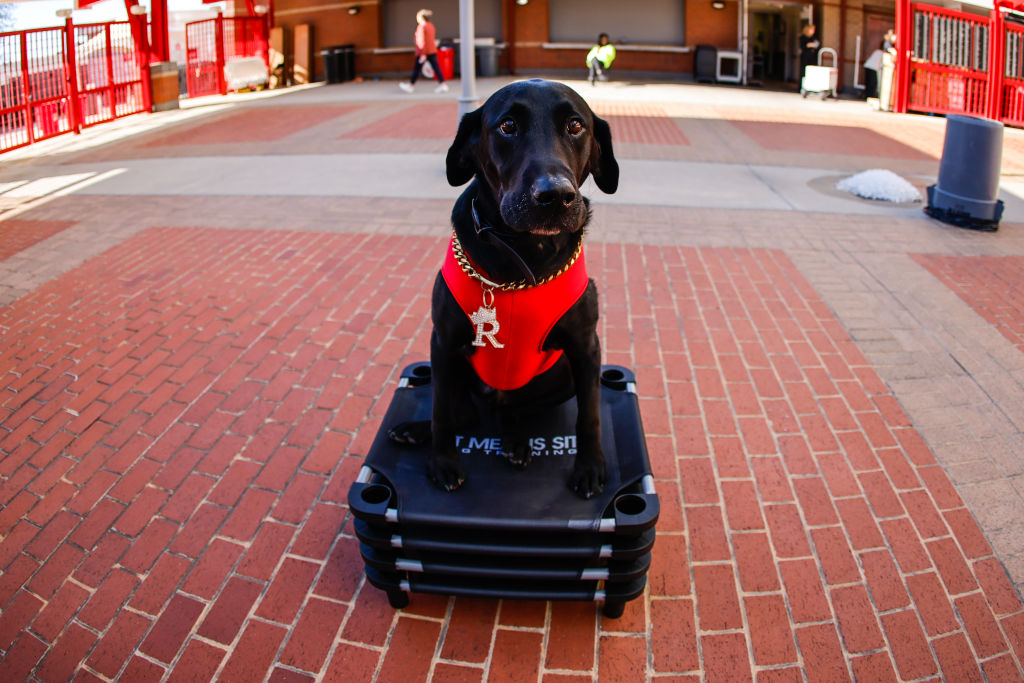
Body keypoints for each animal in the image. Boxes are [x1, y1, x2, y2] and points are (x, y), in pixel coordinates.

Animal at [389, 80, 614, 499]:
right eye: (508, 126)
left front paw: (591, 467)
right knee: (462, 413)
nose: (555, 196)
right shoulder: (443, 342)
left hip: (560, 376)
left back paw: (514, 439)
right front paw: (442, 463)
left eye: (576, 125)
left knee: (513, 409)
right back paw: (416, 431)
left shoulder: (585, 348)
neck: (521, 258)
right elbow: (440, 412)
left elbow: (589, 416)